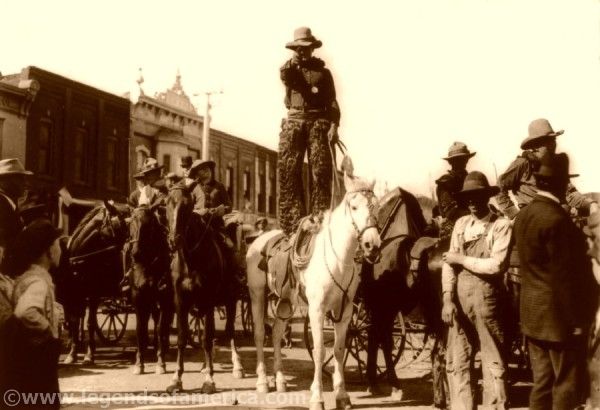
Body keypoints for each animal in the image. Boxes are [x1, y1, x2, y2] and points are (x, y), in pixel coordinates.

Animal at [55, 203, 129, 366]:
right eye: (121, 224)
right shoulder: (72, 296)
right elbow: (74, 322)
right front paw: (72, 353)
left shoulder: (93, 295)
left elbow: (90, 323)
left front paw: (89, 355)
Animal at [126, 207, 173, 376]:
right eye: (130, 224)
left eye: (148, 226)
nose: (135, 253)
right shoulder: (139, 301)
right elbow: (141, 330)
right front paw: (139, 363)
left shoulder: (165, 302)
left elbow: (160, 330)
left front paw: (161, 363)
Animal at [164, 184, 244, 392]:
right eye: (167, 203)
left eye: (187, 205)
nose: (174, 240)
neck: (191, 260)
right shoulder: (181, 301)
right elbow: (183, 338)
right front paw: (176, 379)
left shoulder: (208, 300)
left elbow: (208, 339)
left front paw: (209, 380)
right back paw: (205, 365)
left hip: (231, 299)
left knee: (229, 331)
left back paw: (236, 366)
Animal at [245, 171, 380, 410]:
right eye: (354, 207)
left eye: (376, 206)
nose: (372, 245)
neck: (339, 261)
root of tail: (259, 240)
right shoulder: (317, 310)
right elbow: (319, 352)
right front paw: (317, 397)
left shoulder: (344, 312)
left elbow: (338, 350)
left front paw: (342, 396)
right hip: (257, 295)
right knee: (261, 334)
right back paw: (262, 381)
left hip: (284, 303)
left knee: (277, 333)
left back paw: (280, 380)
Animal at [358, 189, 448, 406]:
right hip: (384, 307)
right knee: (381, 337)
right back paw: (391, 384)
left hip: (387, 308)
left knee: (377, 335)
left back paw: (376, 383)